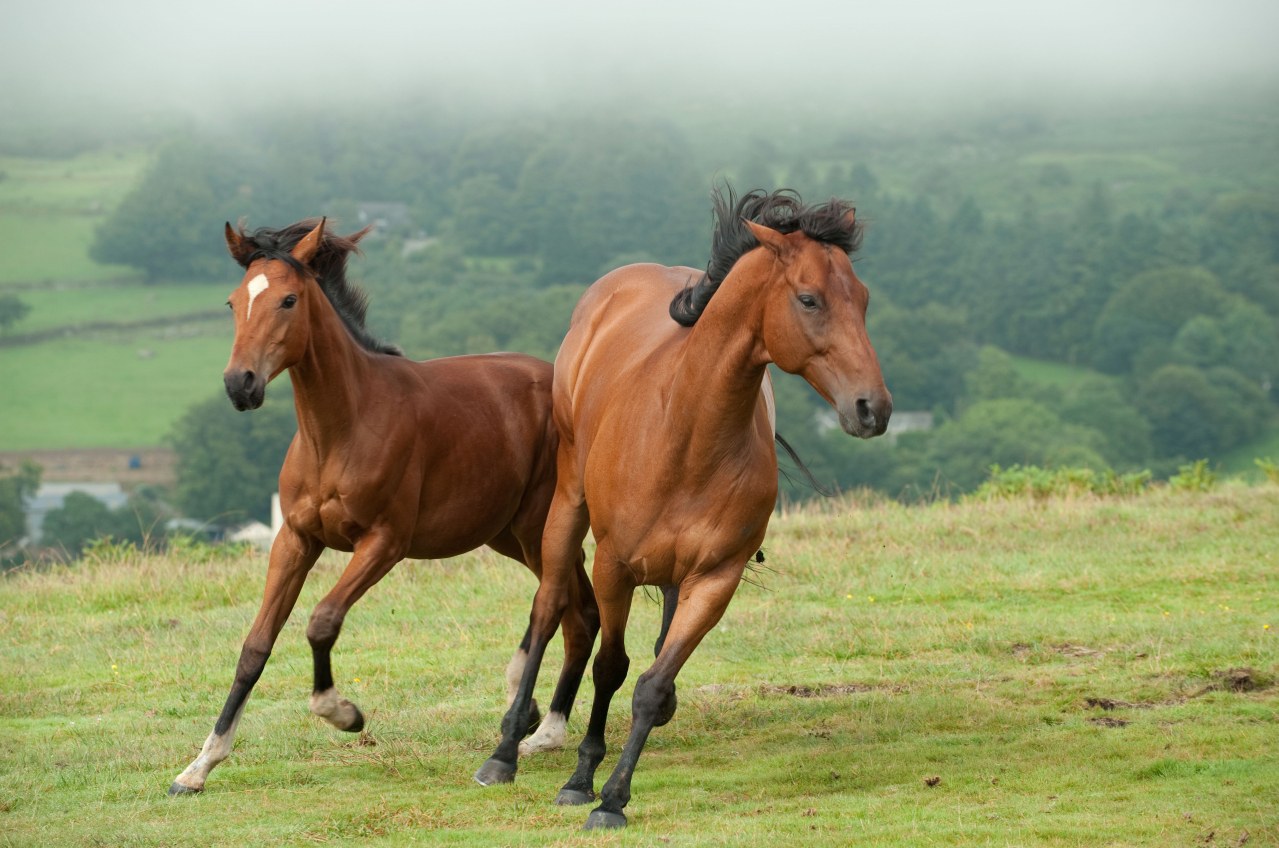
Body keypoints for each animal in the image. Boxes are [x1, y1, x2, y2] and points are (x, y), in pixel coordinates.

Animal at [168, 217, 598, 798]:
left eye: (288, 300)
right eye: (234, 302)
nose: (241, 385)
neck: (341, 429)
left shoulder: (383, 543)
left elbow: (322, 621)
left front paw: (343, 712)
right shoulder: (295, 540)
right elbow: (256, 645)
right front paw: (199, 765)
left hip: (537, 531)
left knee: (569, 609)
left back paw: (535, 722)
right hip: (506, 535)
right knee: (582, 610)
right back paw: (538, 721)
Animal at [475, 188, 895, 828]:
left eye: (865, 299)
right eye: (809, 299)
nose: (873, 408)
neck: (685, 431)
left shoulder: (716, 580)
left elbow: (650, 683)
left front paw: (614, 797)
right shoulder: (614, 567)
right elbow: (610, 666)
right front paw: (580, 779)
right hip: (568, 503)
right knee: (548, 611)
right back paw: (504, 751)